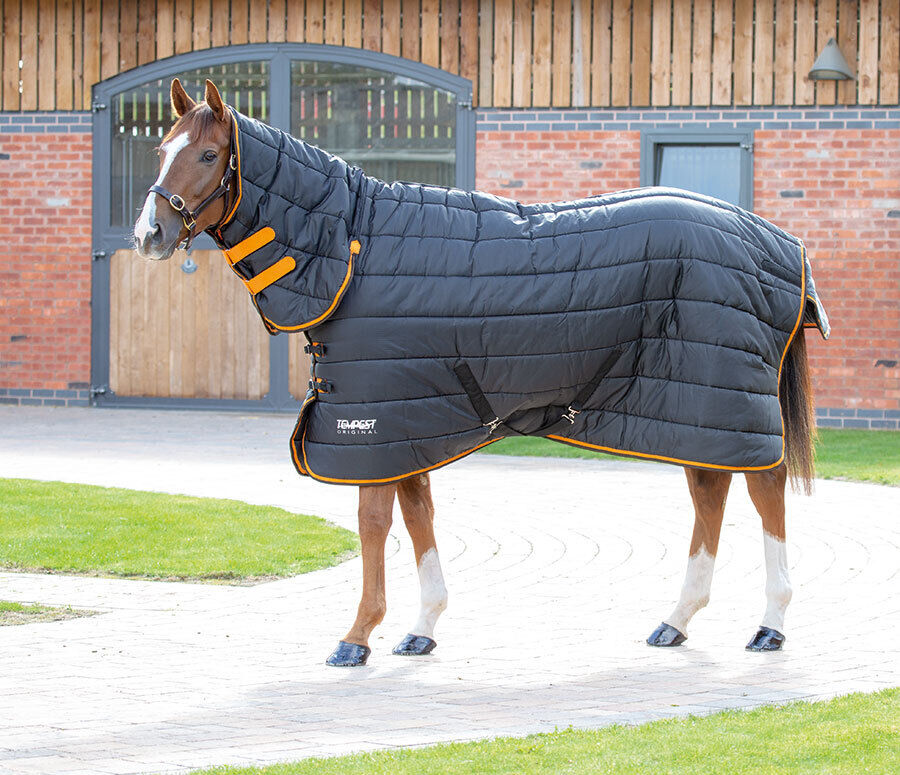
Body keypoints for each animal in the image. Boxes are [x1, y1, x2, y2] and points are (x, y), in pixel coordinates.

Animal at [133, 78, 823, 667]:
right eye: (162, 148)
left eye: (208, 155)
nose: (148, 234)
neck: (354, 249)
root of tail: (777, 242)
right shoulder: (409, 422)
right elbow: (419, 515)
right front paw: (421, 629)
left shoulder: (374, 422)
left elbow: (375, 525)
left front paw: (356, 636)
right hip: (692, 407)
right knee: (711, 491)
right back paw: (676, 620)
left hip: (732, 400)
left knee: (765, 490)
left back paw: (770, 625)